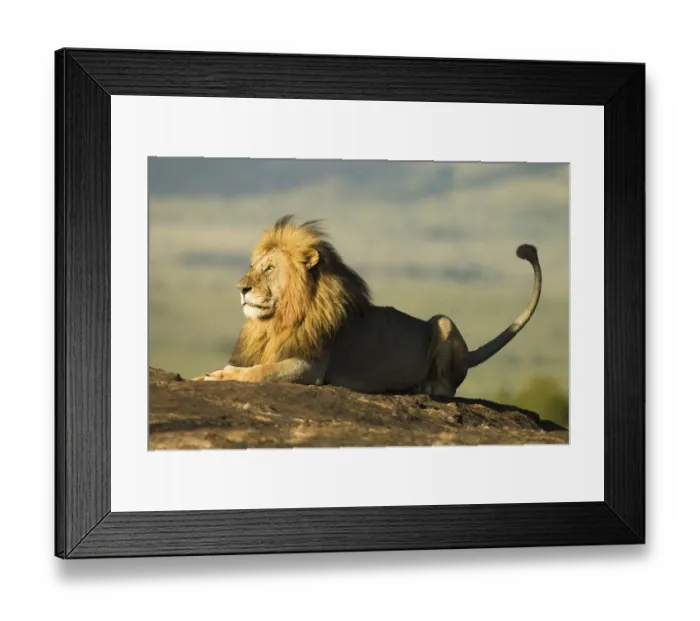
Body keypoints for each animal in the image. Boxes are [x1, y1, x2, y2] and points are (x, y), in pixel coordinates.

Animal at [192, 215, 542, 398]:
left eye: (268, 269)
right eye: (252, 266)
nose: (241, 288)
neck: (278, 320)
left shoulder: (311, 366)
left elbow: (261, 372)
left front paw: (220, 375)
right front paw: (200, 376)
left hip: (443, 321)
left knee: (448, 389)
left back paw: (424, 386)